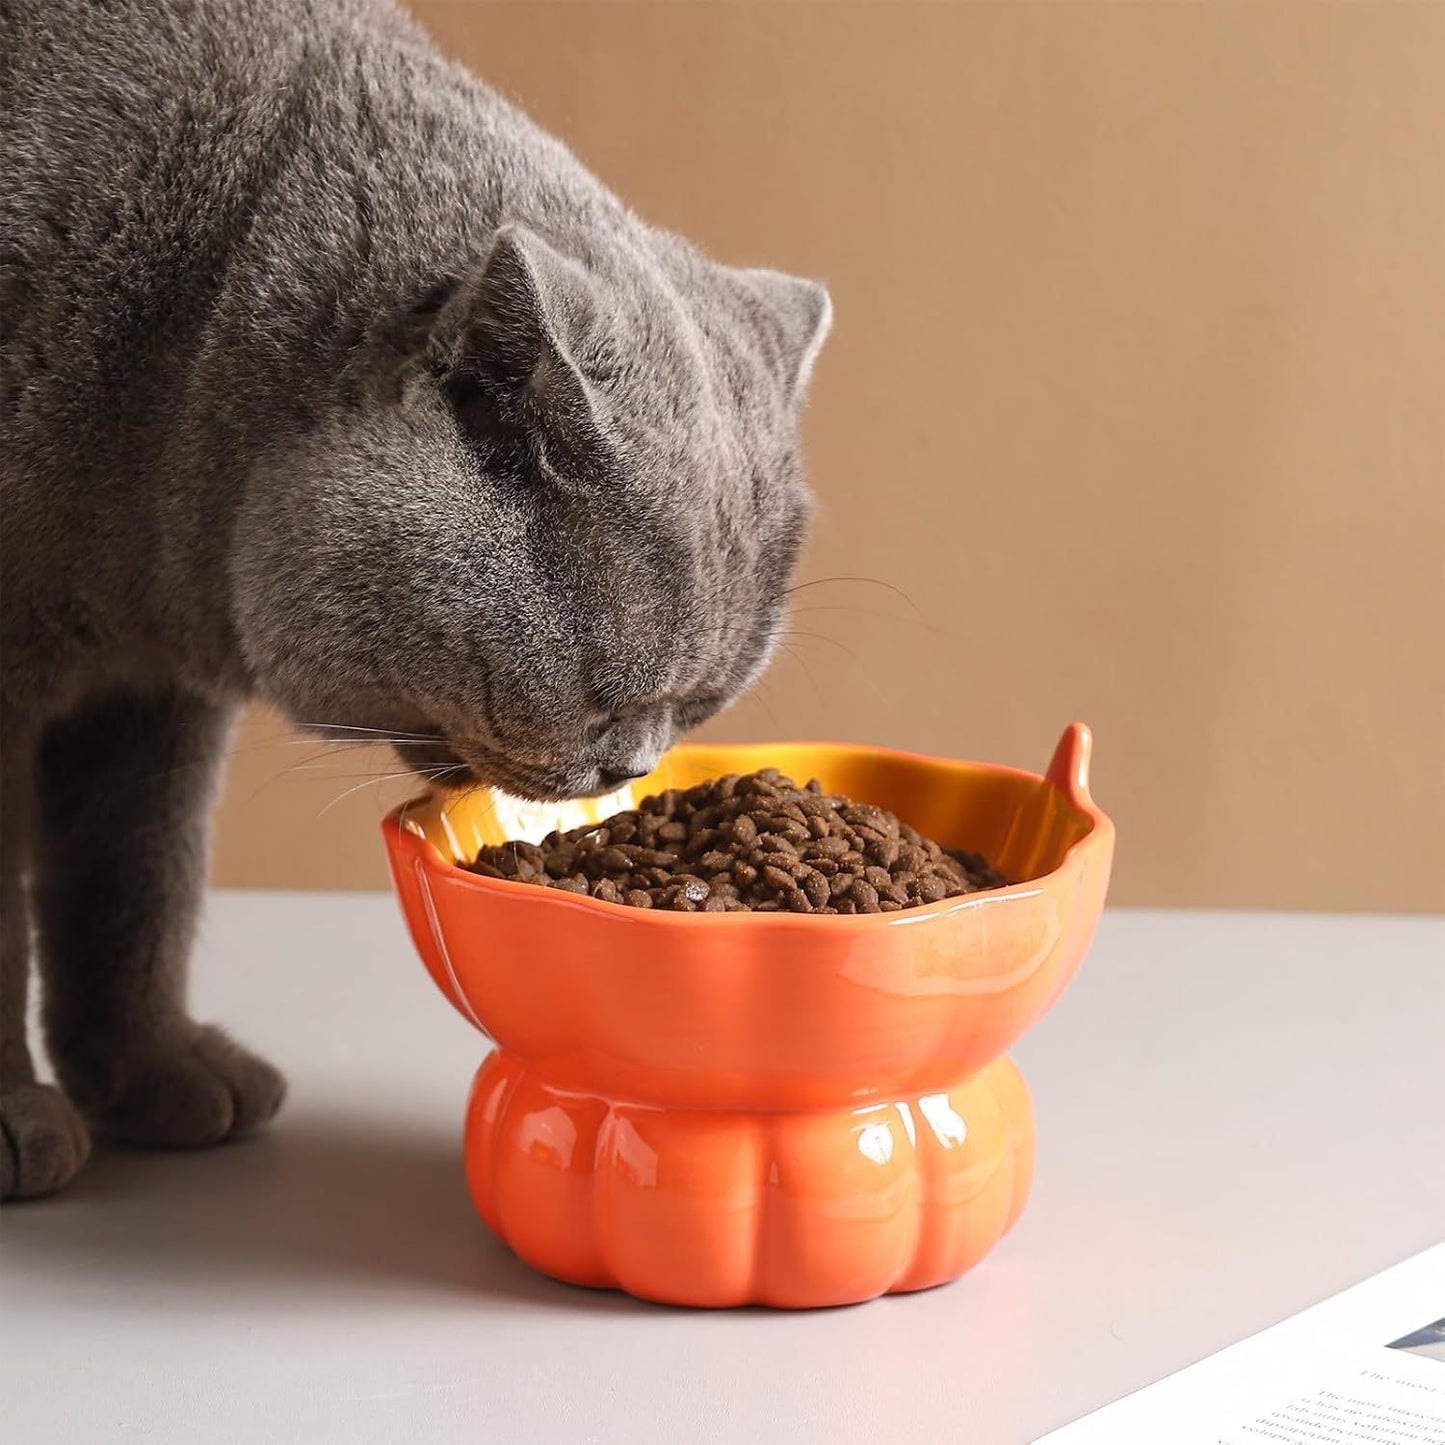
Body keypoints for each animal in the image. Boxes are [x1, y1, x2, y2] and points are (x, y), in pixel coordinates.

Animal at [0, 0, 832, 1196]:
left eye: (702, 705)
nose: (629, 768)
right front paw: (18, 1125)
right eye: (608, 693)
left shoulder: (149, 698)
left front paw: (161, 1073)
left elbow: (138, 874)